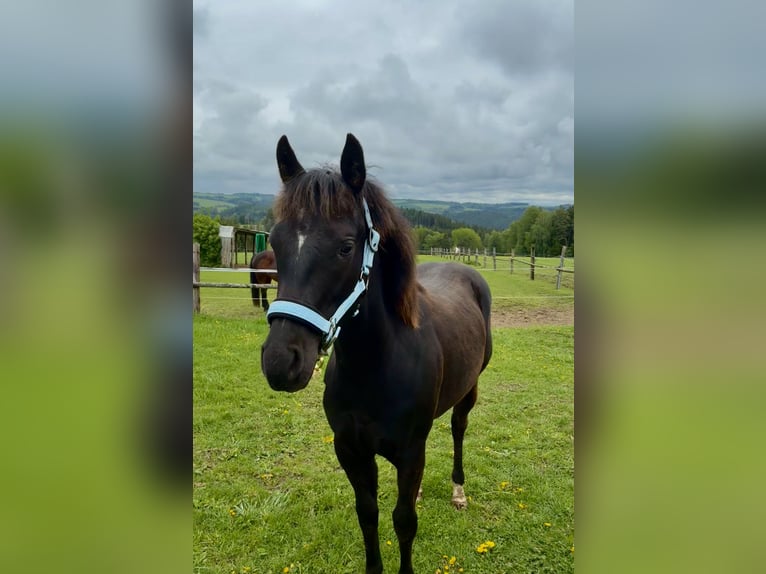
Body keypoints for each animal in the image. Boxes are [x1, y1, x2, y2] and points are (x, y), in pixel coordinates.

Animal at [260, 134, 492, 574]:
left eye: (346, 247)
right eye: (275, 242)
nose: (281, 362)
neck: (377, 366)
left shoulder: (410, 451)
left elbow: (404, 521)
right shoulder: (351, 450)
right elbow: (367, 513)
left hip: (469, 390)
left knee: (458, 430)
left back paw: (458, 490)